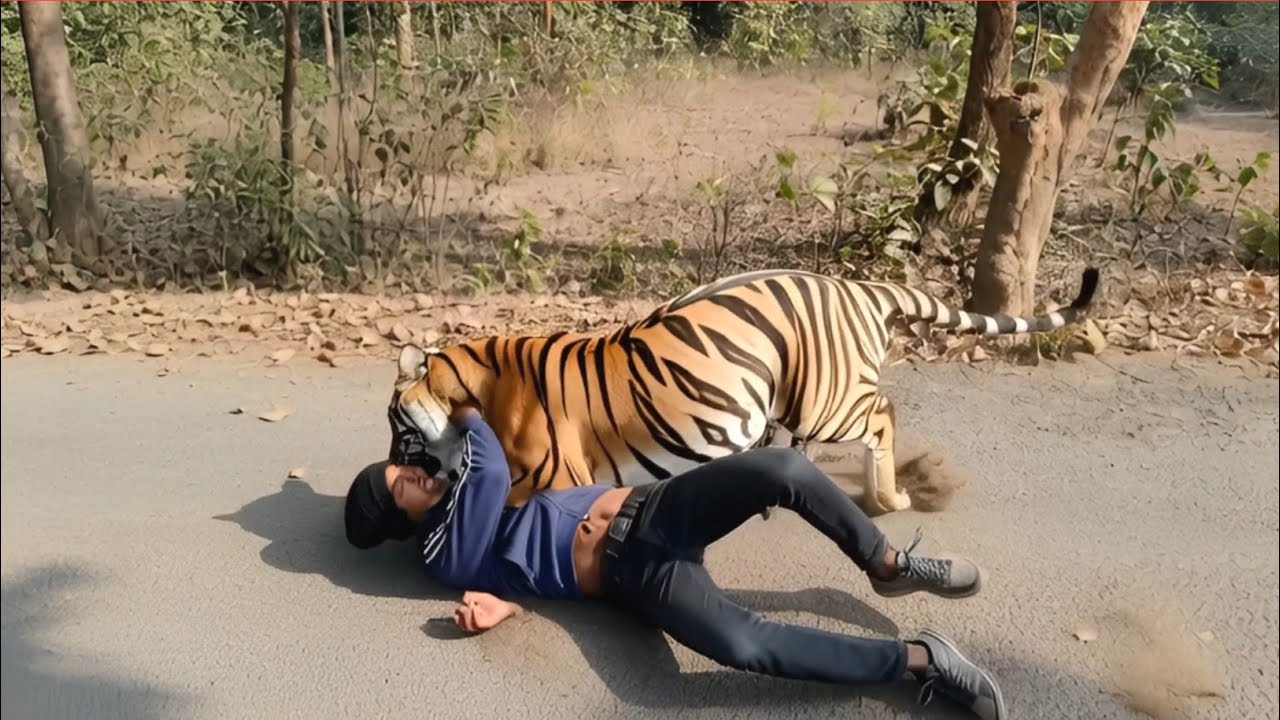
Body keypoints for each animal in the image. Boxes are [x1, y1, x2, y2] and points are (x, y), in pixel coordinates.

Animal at [387, 266, 1099, 515]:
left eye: (397, 425)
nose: (395, 465)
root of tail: (859, 286)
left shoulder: (552, 477)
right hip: (792, 405)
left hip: (830, 403)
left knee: (884, 414)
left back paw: (891, 497)